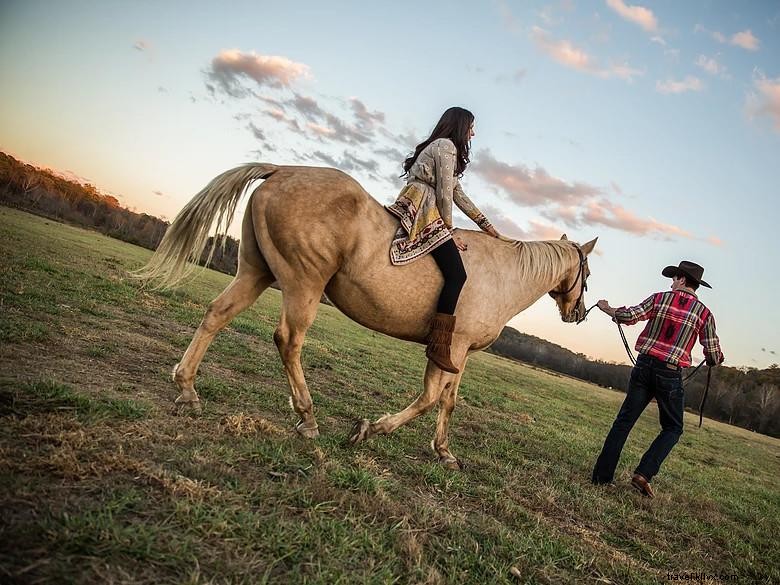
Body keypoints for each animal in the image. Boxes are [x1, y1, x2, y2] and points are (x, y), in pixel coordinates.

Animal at [139, 162, 596, 468]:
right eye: (587, 273)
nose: (576, 313)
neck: (503, 274)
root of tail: (282, 170)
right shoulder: (451, 346)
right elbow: (430, 399)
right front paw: (370, 430)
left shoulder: (461, 353)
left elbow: (448, 401)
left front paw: (444, 452)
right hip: (303, 283)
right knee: (289, 340)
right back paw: (307, 418)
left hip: (256, 272)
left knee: (217, 315)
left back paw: (187, 389)